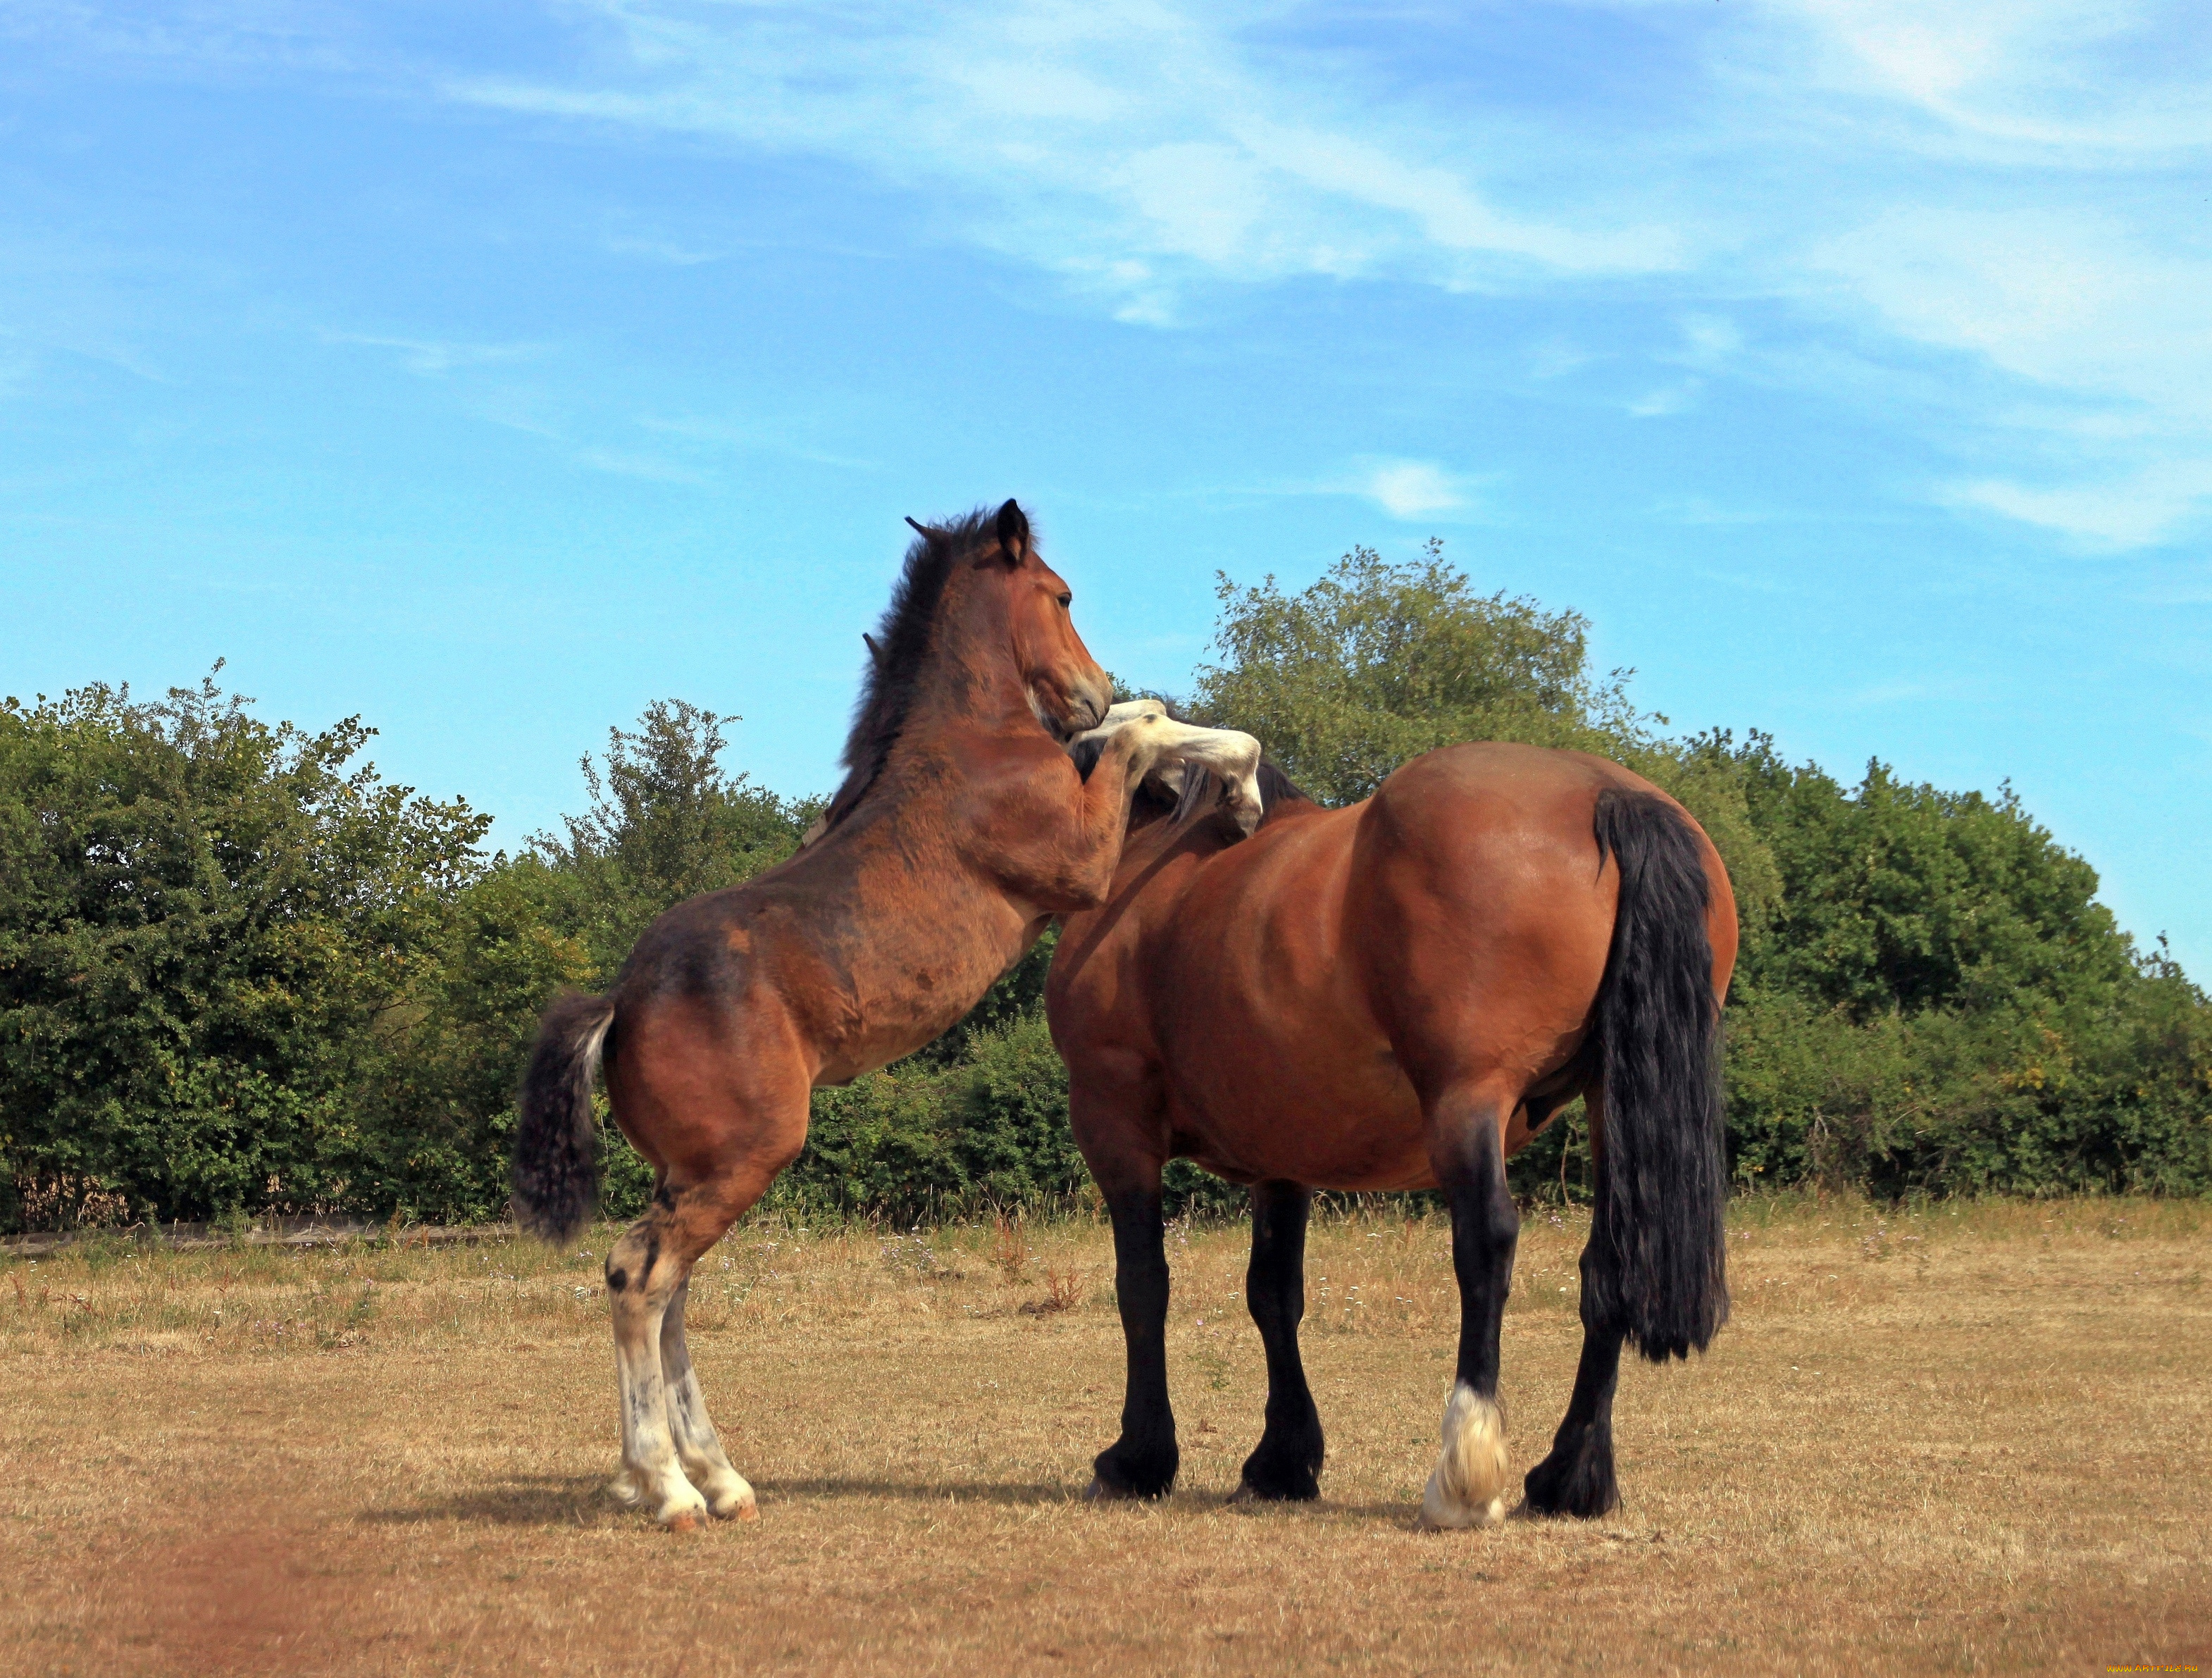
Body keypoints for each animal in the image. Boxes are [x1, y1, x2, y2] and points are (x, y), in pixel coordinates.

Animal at [513, 506, 1247, 1529]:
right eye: (1061, 596)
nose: (1086, 689)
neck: (972, 747)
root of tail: (621, 1001)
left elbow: (1144, 738)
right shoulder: (1082, 861)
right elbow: (1141, 730)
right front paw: (1233, 777)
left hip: (693, 1170)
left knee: (670, 1289)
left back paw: (718, 1478)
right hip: (743, 1157)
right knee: (638, 1276)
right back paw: (668, 1487)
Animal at [1044, 742, 1734, 1529]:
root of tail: (1609, 793)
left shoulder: (1114, 1122)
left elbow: (1142, 1287)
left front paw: (1137, 1459)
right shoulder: (1284, 1151)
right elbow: (1273, 1294)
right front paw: (1281, 1462)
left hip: (1466, 1101)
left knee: (1485, 1247)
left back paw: (1465, 1474)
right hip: (1604, 1098)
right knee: (1611, 1266)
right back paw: (1571, 1478)